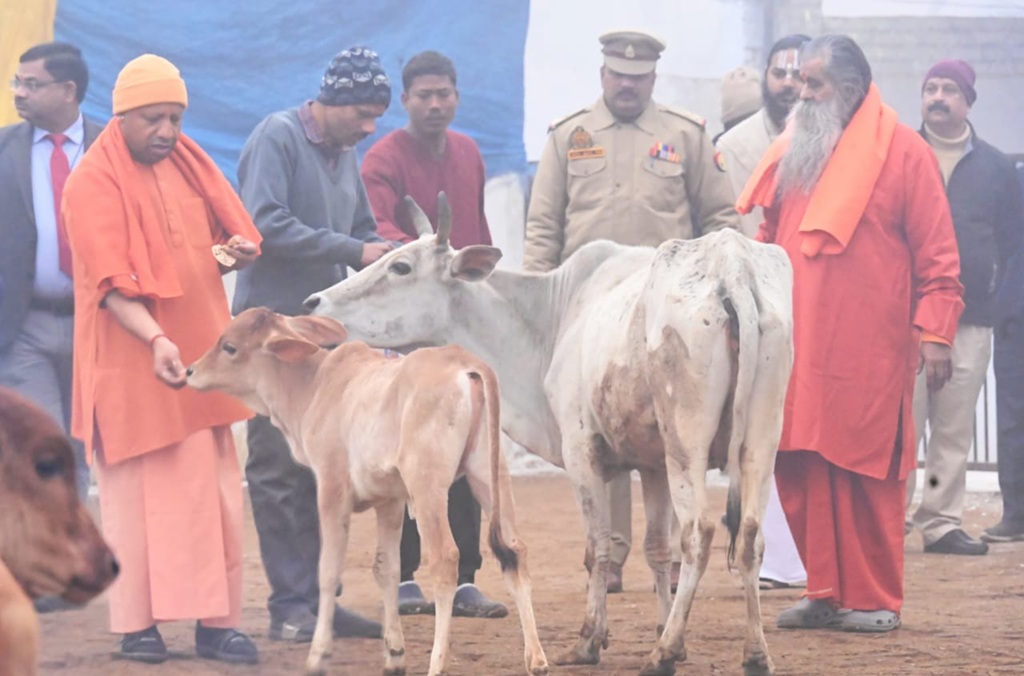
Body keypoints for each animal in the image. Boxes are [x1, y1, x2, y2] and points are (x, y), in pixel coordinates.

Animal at [187, 309, 548, 676]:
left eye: (229, 346)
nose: (190, 371)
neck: (314, 385)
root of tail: (464, 362)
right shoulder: (390, 500)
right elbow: (386, 568)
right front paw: (394, 654)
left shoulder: (331, 489)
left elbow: (328, 570)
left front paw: (318, 656)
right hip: (489, 476)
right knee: (515, 551)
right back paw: (536, 659)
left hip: (428, 485)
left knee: (446, 558)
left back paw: (437, 664)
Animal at [303, 197, 790, 671]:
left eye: (401, 267)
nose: (313, 302)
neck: (553, 320)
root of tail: (731, 264)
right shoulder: (652, 463)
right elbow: (655, 548)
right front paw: (666, 630)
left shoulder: (582, 452)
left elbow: (597, 548)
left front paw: (591, 641)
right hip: (758, 442)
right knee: (749, 535)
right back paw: (753, 651)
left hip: (686, 443)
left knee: (698, 535)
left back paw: (663, 654)